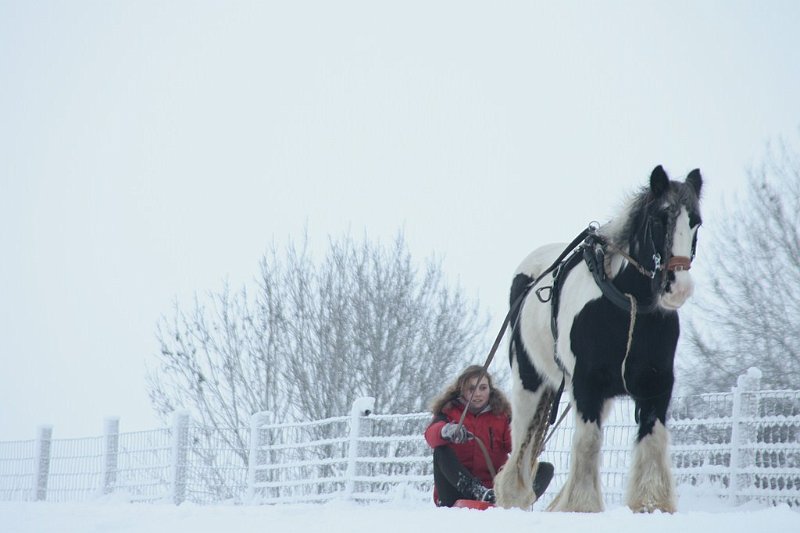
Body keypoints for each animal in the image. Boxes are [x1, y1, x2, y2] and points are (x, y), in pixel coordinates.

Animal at [496, 165, 704, 512]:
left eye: (695, 222)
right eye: (660, 218)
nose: (679, 288)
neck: (627, 305)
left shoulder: (657, 384)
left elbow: (653, 439)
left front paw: (651, 504)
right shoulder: (586, 384)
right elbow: (588, 442)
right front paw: (582, 505)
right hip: (529, 380)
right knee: (521, 442)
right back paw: (512, 497)